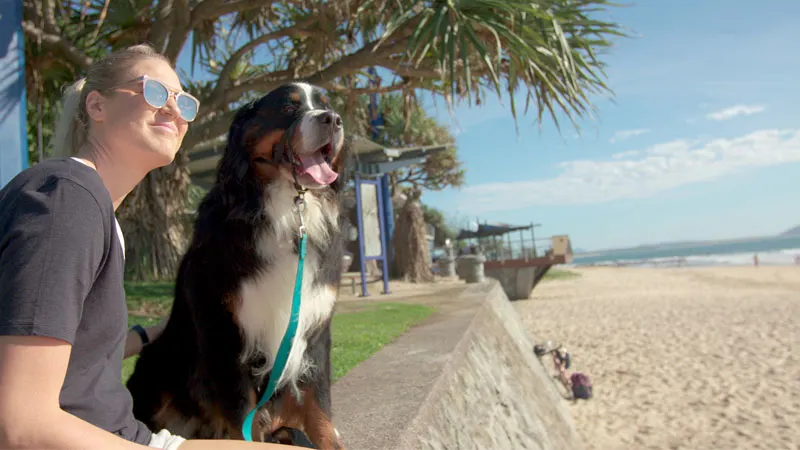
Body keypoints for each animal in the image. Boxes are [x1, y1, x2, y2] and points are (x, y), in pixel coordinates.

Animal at [126, 82, 348, 448]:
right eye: (288, 108)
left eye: (327, 105)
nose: (332, 119)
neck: (289, 211)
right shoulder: (225, 333)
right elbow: (244, 420)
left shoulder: (315, 334)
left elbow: (321, 411)